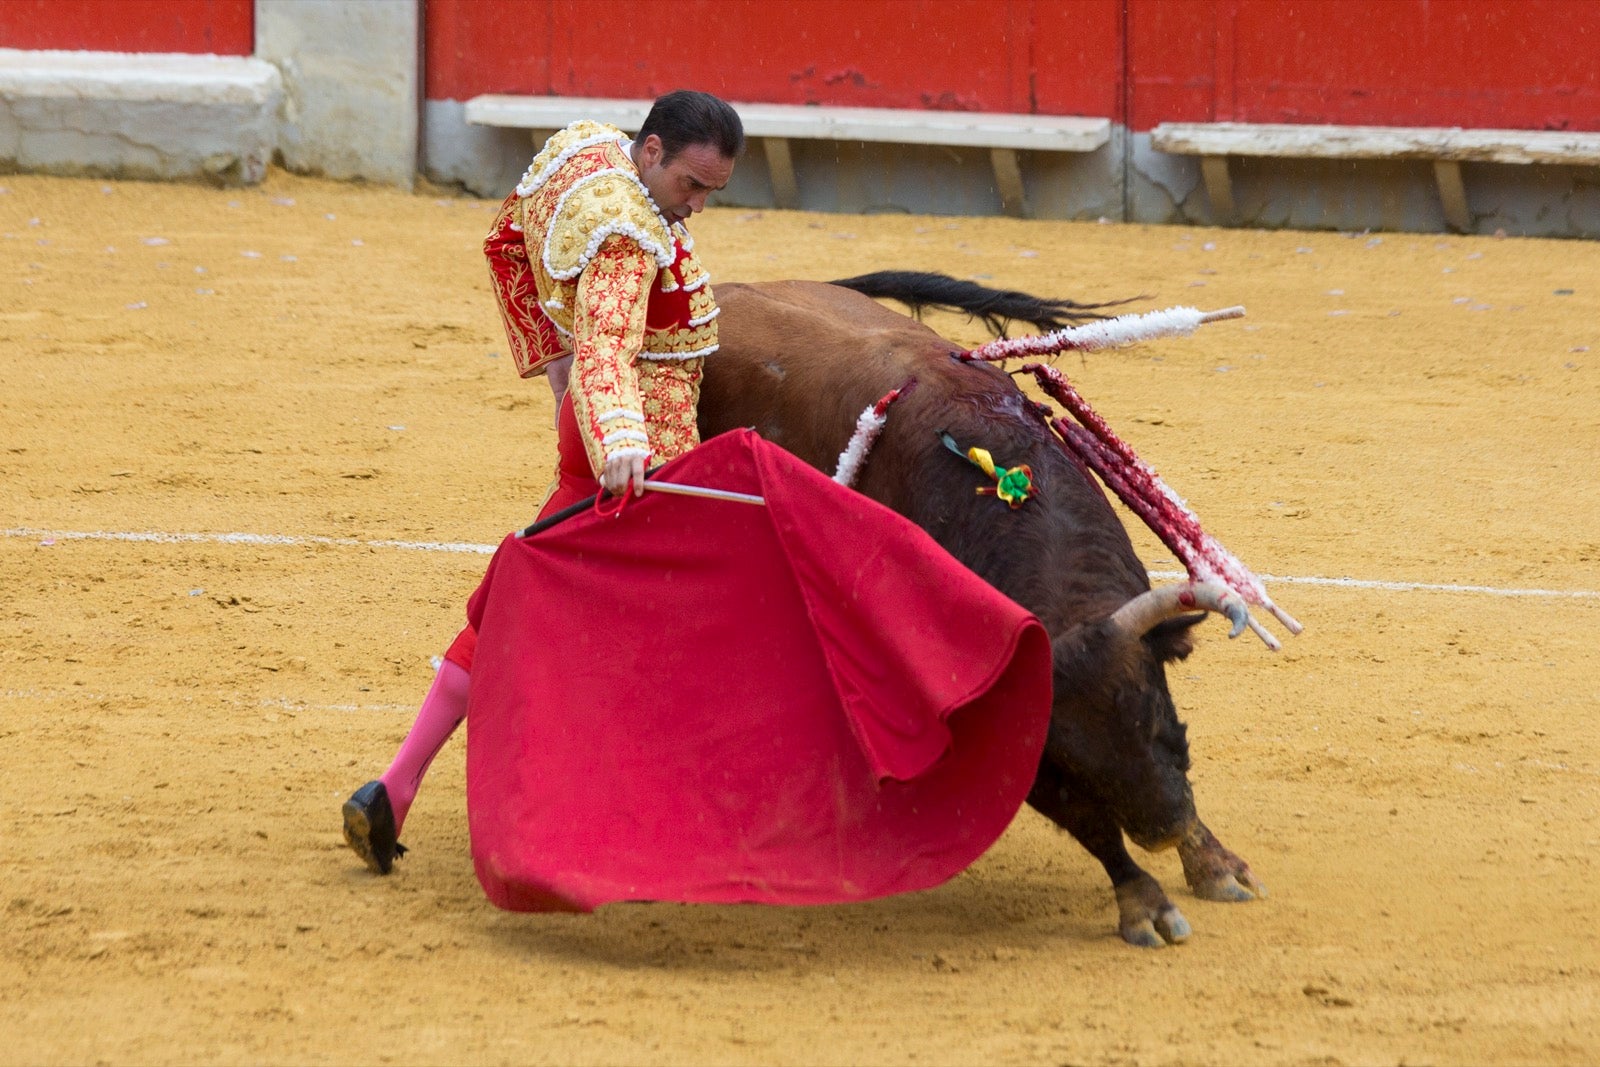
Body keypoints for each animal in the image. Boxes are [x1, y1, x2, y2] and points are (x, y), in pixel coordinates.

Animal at [694, 271, 1267, 947]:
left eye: (1153, 714)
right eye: (1066, 761)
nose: (1163, 830)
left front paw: (1214, 863)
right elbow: (1087, 822)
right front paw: (1144, 903)